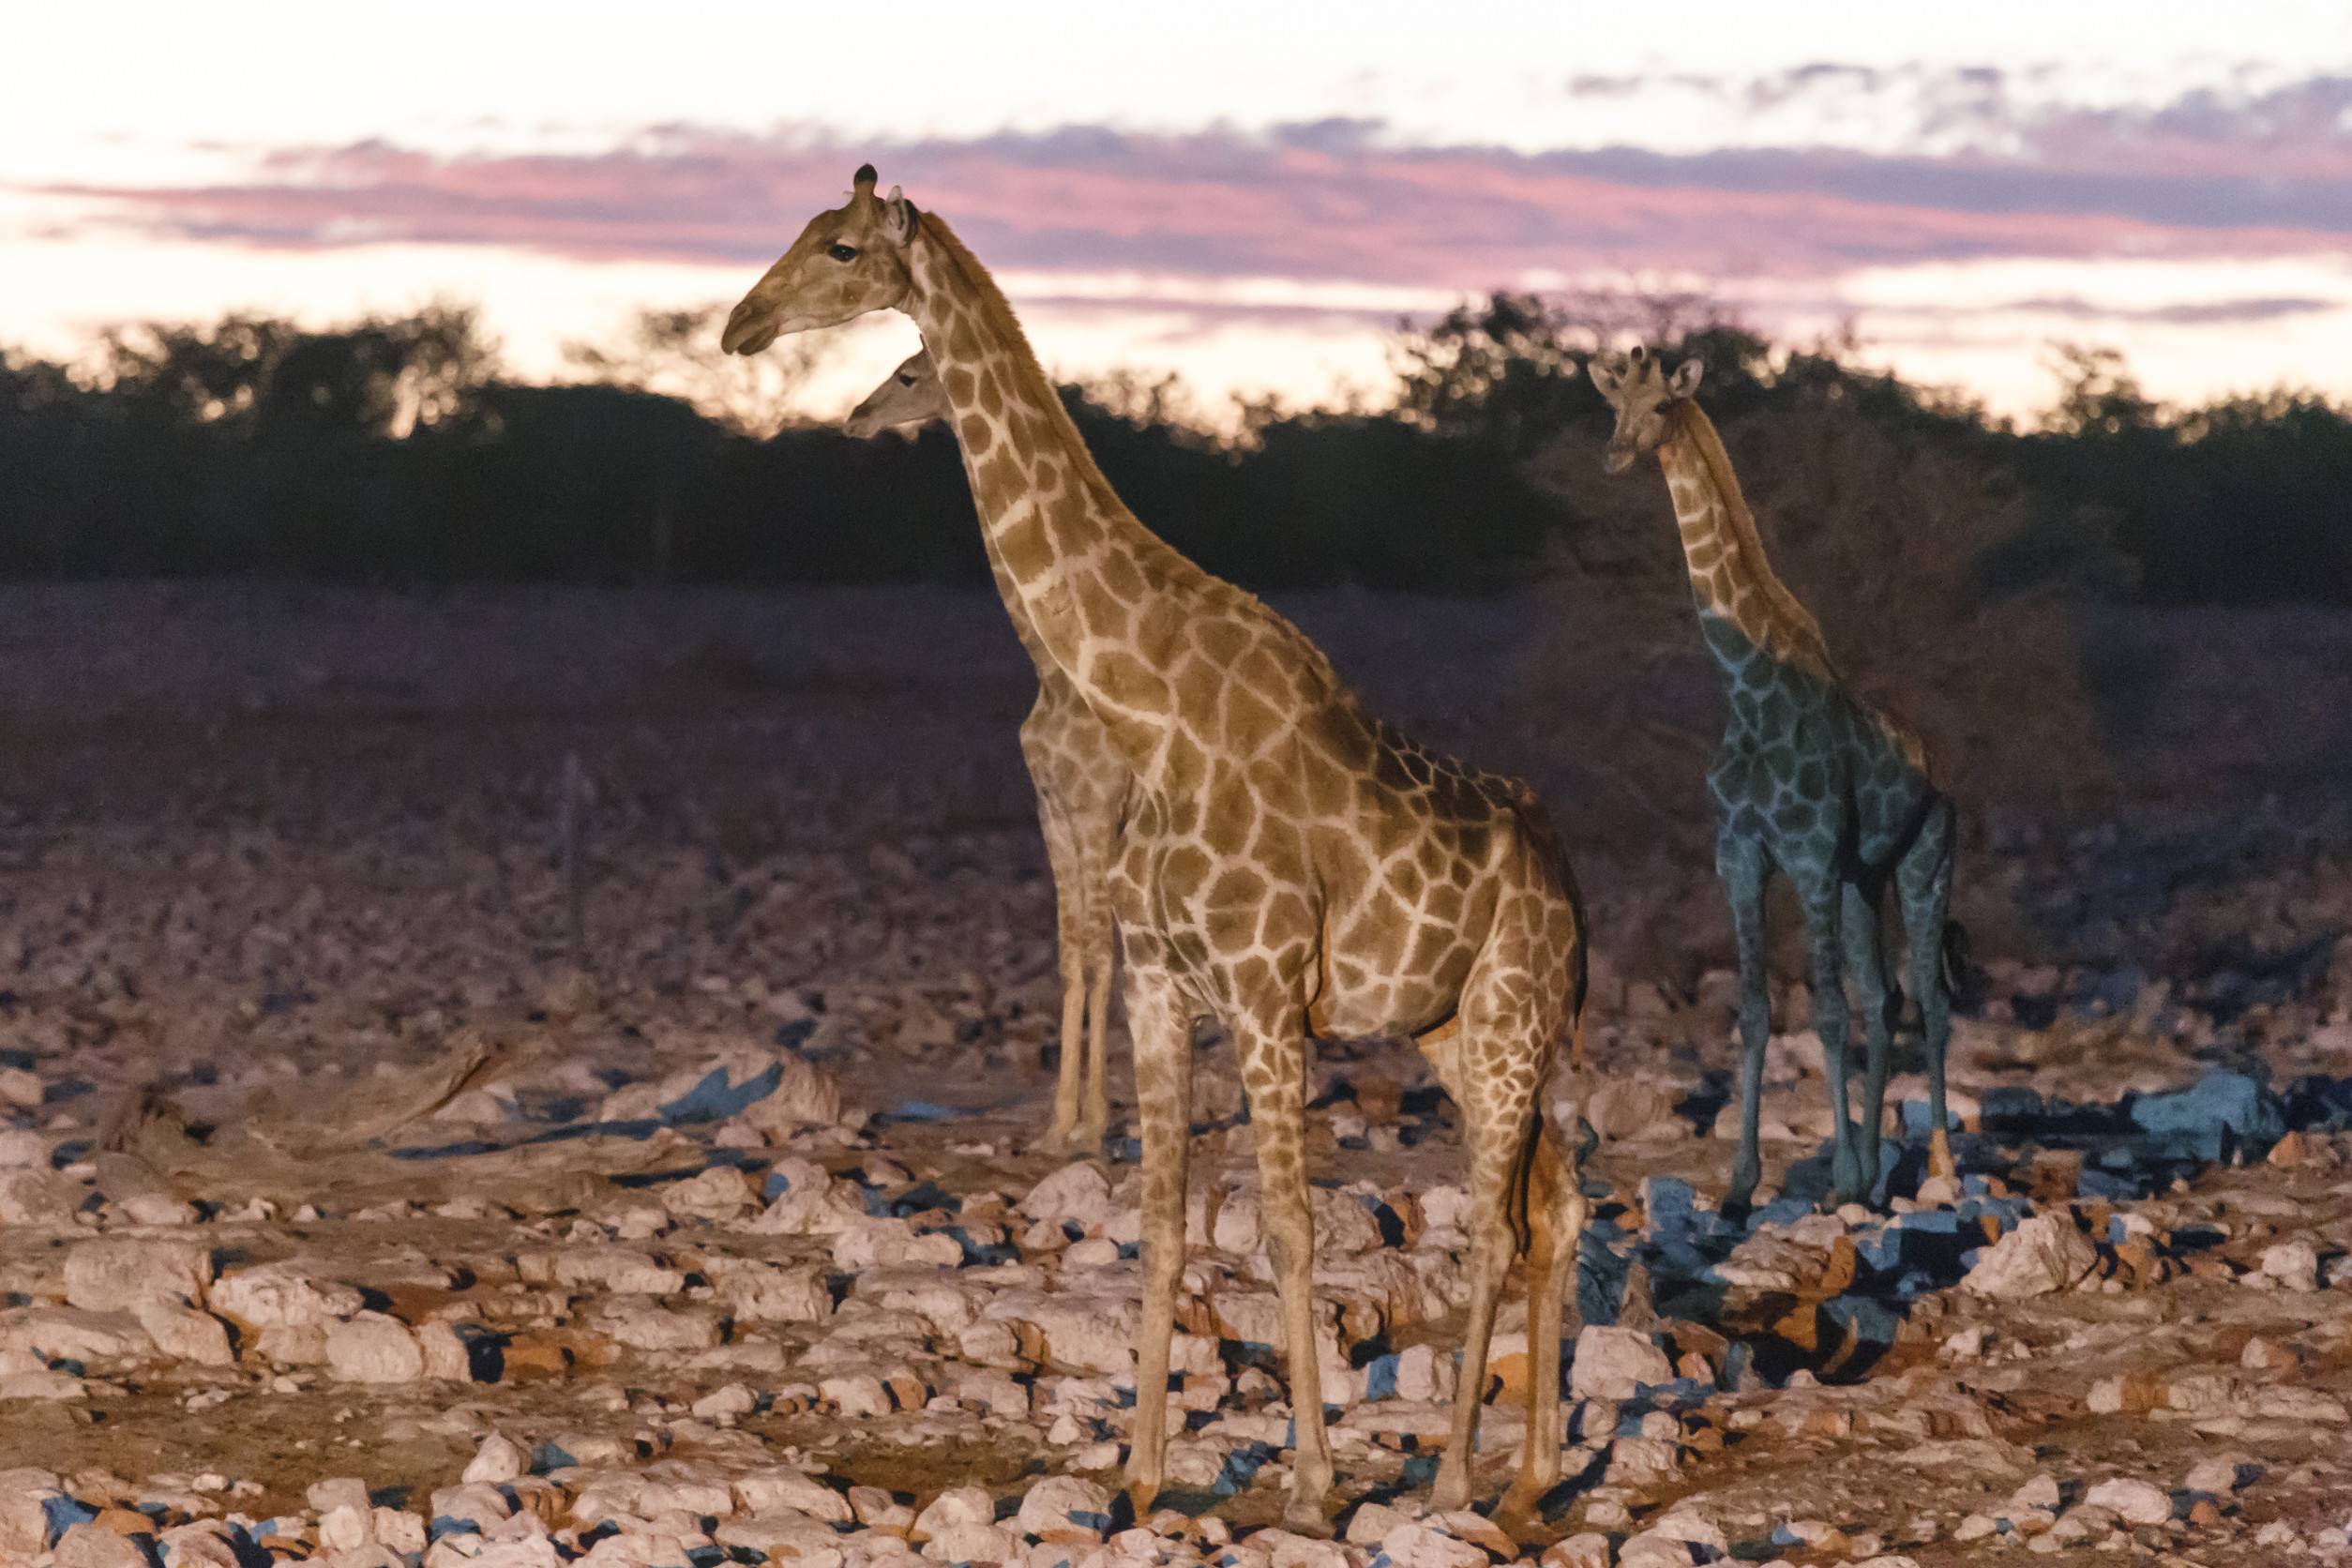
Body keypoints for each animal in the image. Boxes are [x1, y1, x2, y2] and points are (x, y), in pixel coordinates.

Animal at [848, 350, 1126, 1153]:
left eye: (910, 374)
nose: (857, 418)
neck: (1052, 673)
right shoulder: (1052, 811)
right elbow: (1071, 953)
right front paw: (1061, 1122)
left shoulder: (1096, 810)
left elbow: (1098, 949)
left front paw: (1094, 1125)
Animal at [1584, 345, 1958, 1212]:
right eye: (1614, 405)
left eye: (1662, 407)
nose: (1616, 454)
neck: (1748, 687)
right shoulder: (1742, 855)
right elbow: (1756, 1013)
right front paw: (1742, 1183)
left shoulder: (1810, 857)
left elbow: (1824, 1013)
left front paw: (1844, 1177)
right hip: (1864, 881)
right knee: (1886, 998)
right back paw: (1884, 1176)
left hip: (1924, 867)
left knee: (1929, 1002)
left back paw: (1941, 1172)